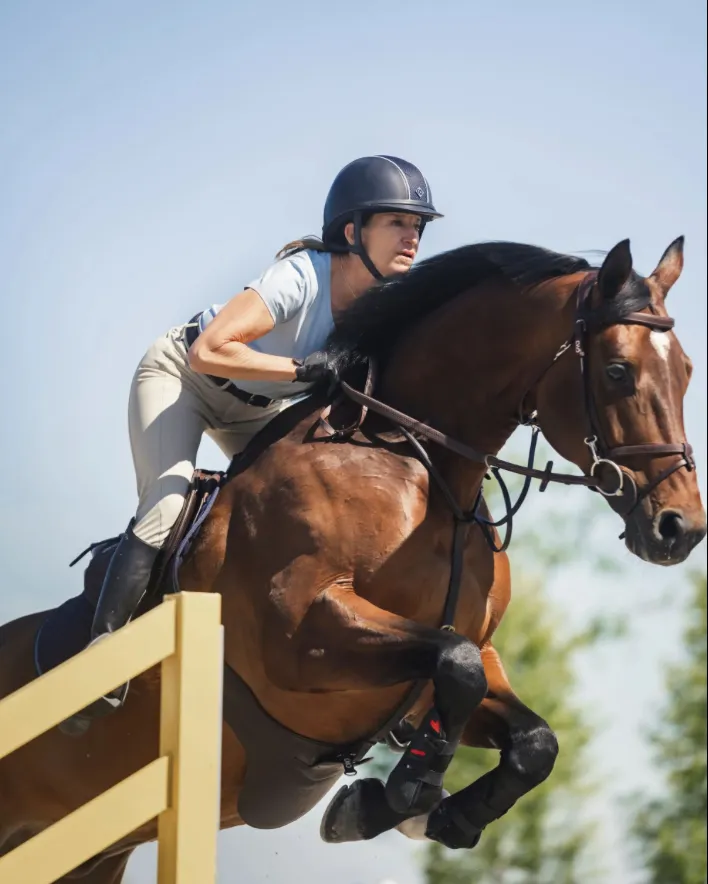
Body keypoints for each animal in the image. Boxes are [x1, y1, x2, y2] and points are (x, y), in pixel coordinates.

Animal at [0, 237, 704, 880]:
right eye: (617, 371)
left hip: (92, 858)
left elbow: (531, 736)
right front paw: (401, 796)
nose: (681, 529)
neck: (422, 473)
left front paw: (431, 814)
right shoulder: (299, 635)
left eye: (688, 370)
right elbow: (457, 665)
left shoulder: (452, 665)